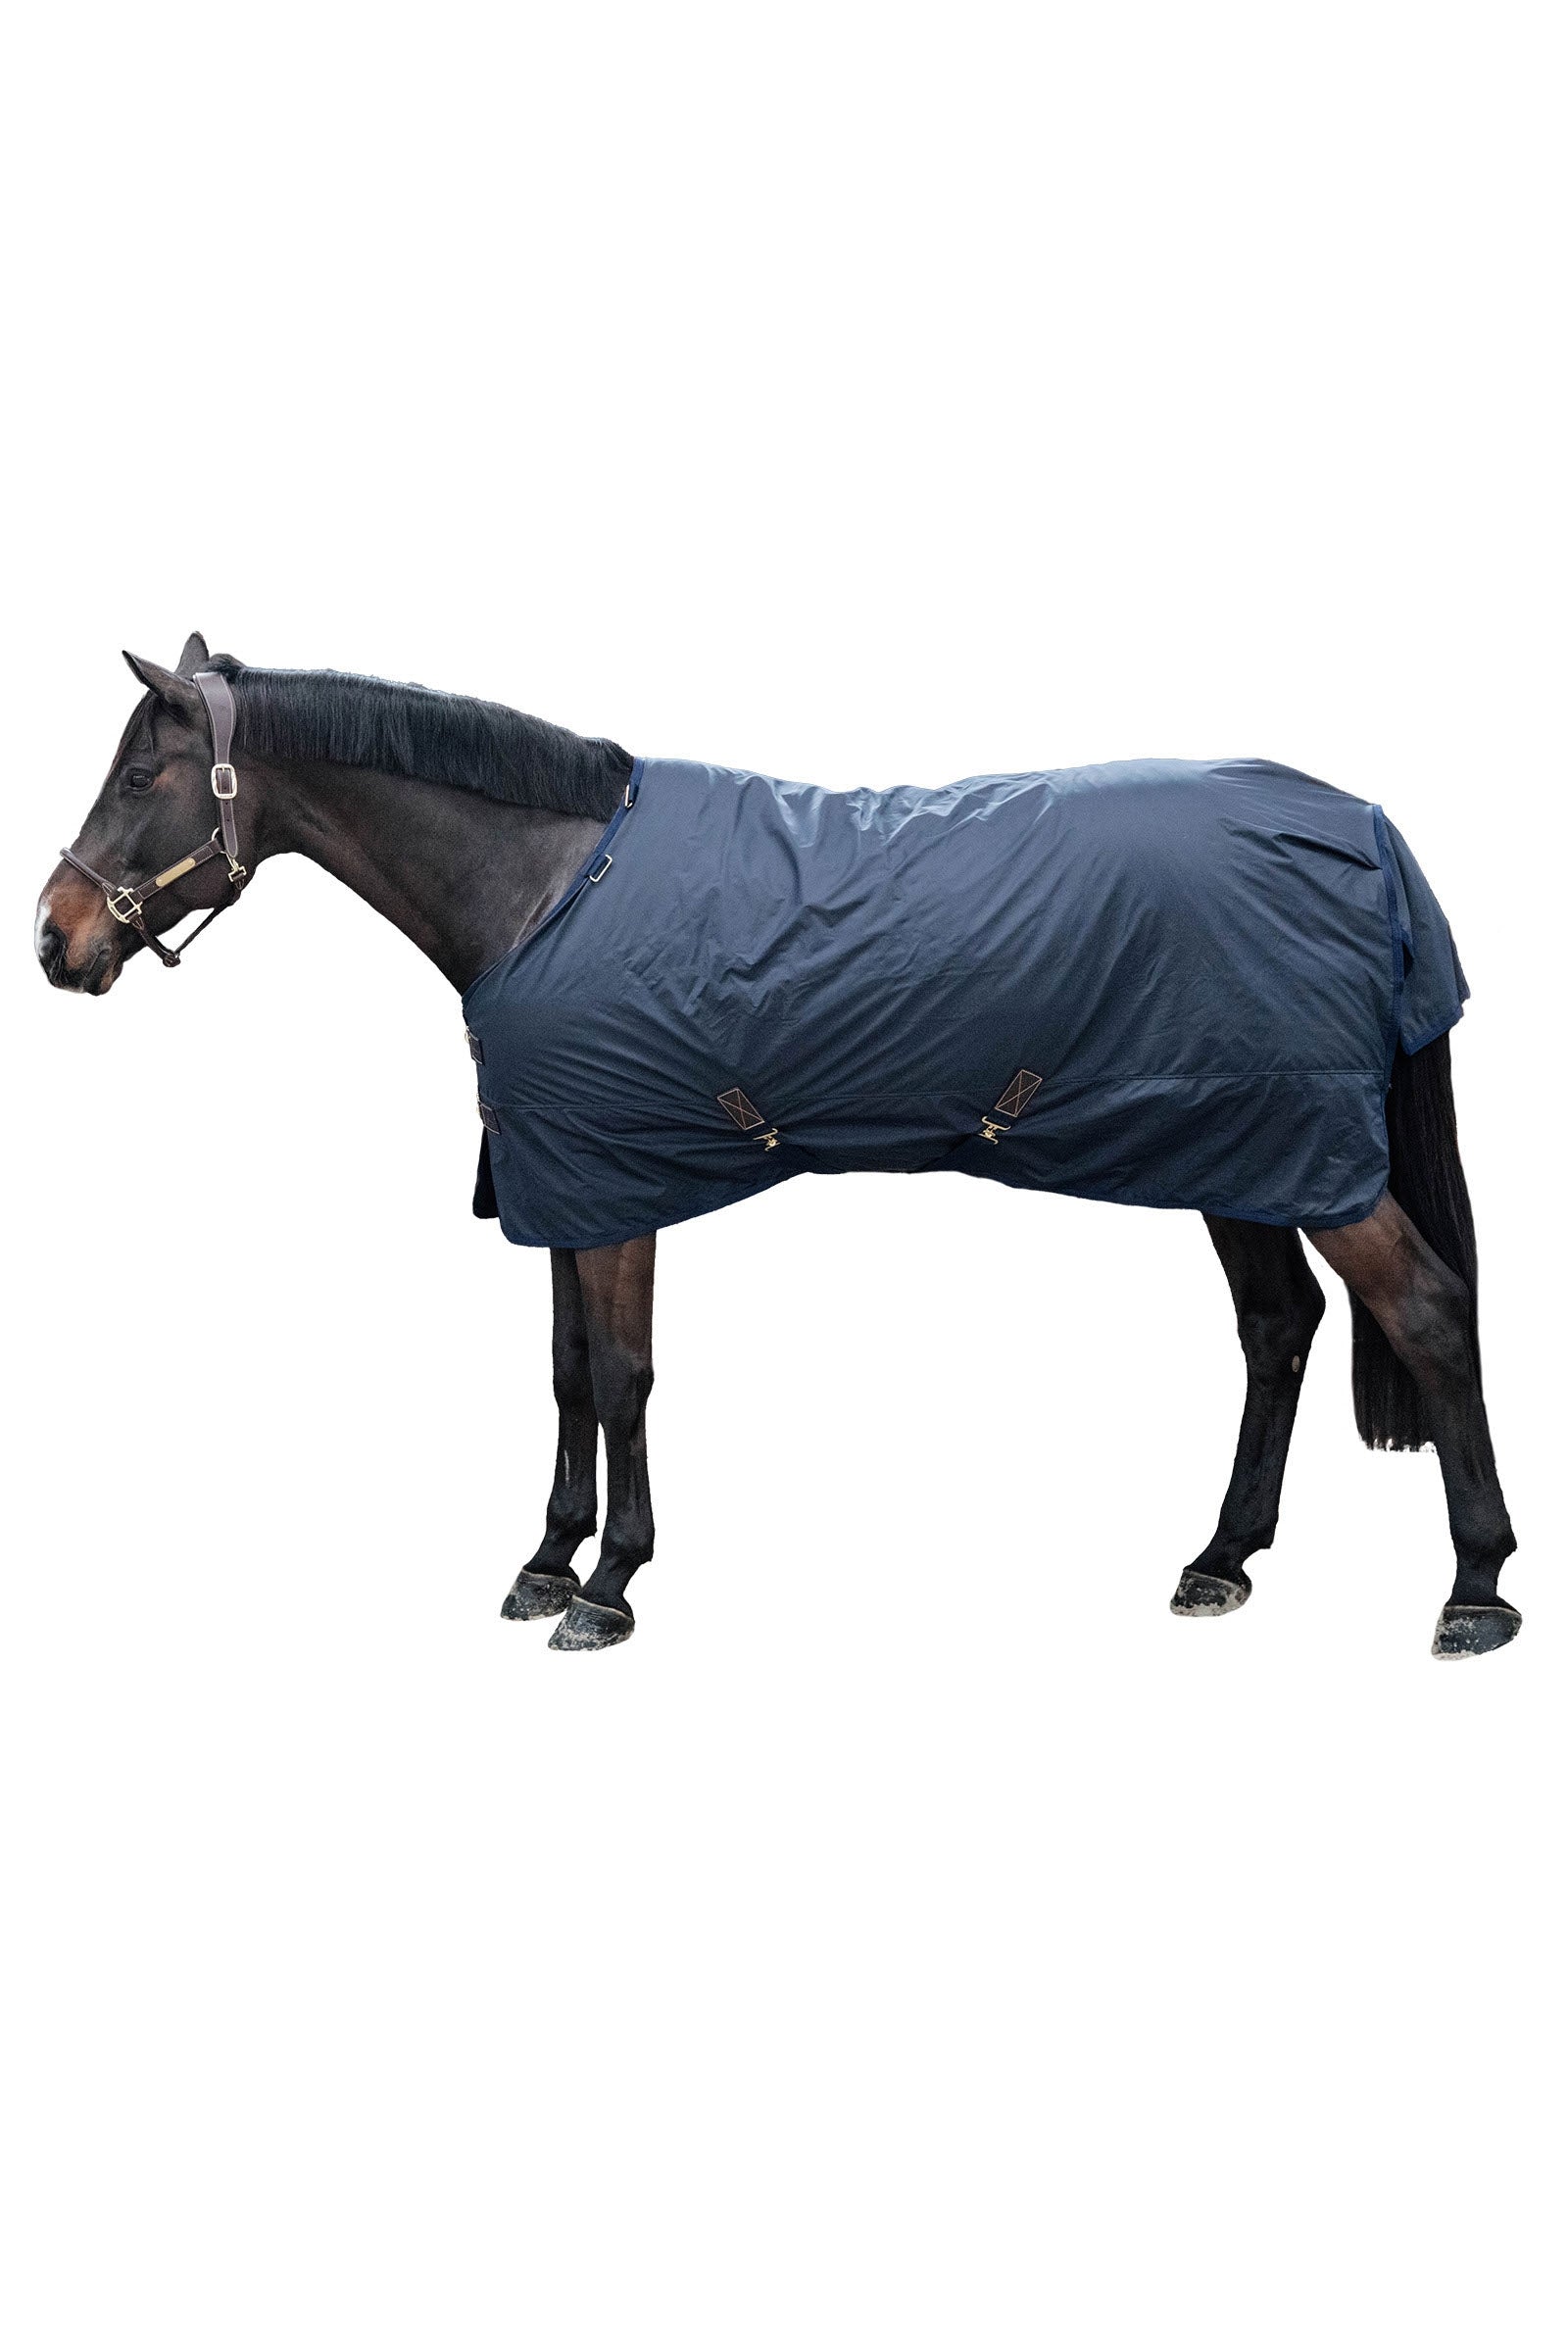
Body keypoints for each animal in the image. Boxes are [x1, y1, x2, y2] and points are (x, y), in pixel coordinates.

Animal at [35, 637, 1520, 1659]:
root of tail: (1360, 824)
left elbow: (622, 1376)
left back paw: (1475, 1588)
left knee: (1427, 1311)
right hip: (1239, 1148)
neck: (548, 888)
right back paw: (1222, 1559)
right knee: (1279, 1329)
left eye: (141, 775)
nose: (56, 937)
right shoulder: (561, 1181)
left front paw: (610, 1585)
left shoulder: (616, 1181)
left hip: (1299, 1153)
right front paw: (546, 1561)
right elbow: (565, 1375)